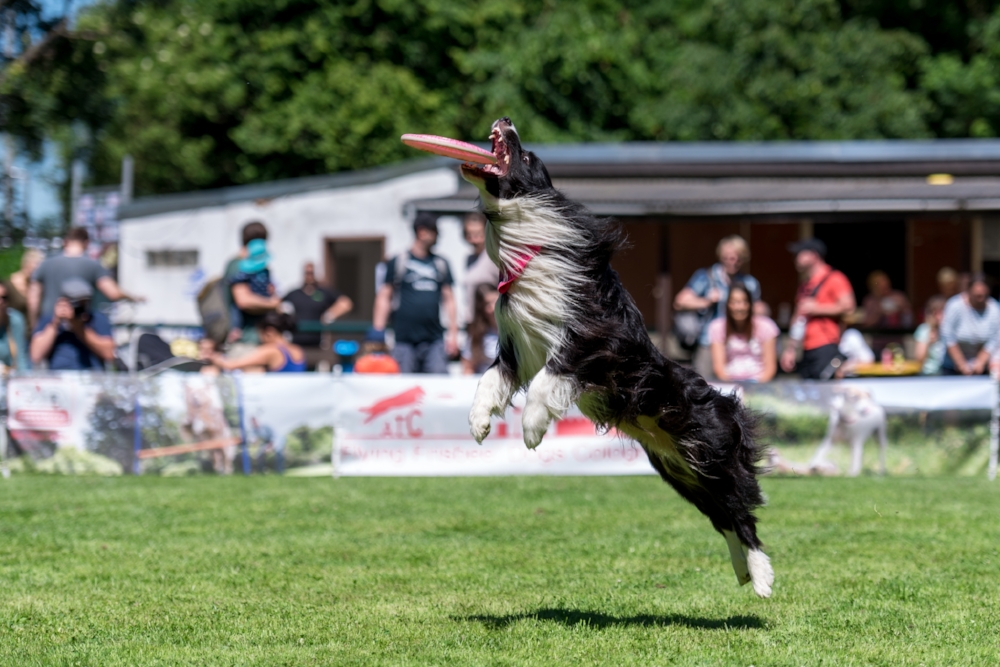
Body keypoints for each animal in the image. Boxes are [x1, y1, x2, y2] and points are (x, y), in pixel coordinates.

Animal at [460, 117, 772, 596]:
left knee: (742, 512)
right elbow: (491, 379)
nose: (505, 120)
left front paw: (531, 431)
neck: (533, 243)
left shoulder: (598, 340)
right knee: (722, 517)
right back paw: (741, 572)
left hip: (712, 455)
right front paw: (478, 424)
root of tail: (728, 403)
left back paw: (761, 579)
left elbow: (549, 379)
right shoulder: (515, 344)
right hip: (680, 471)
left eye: (526, 156)